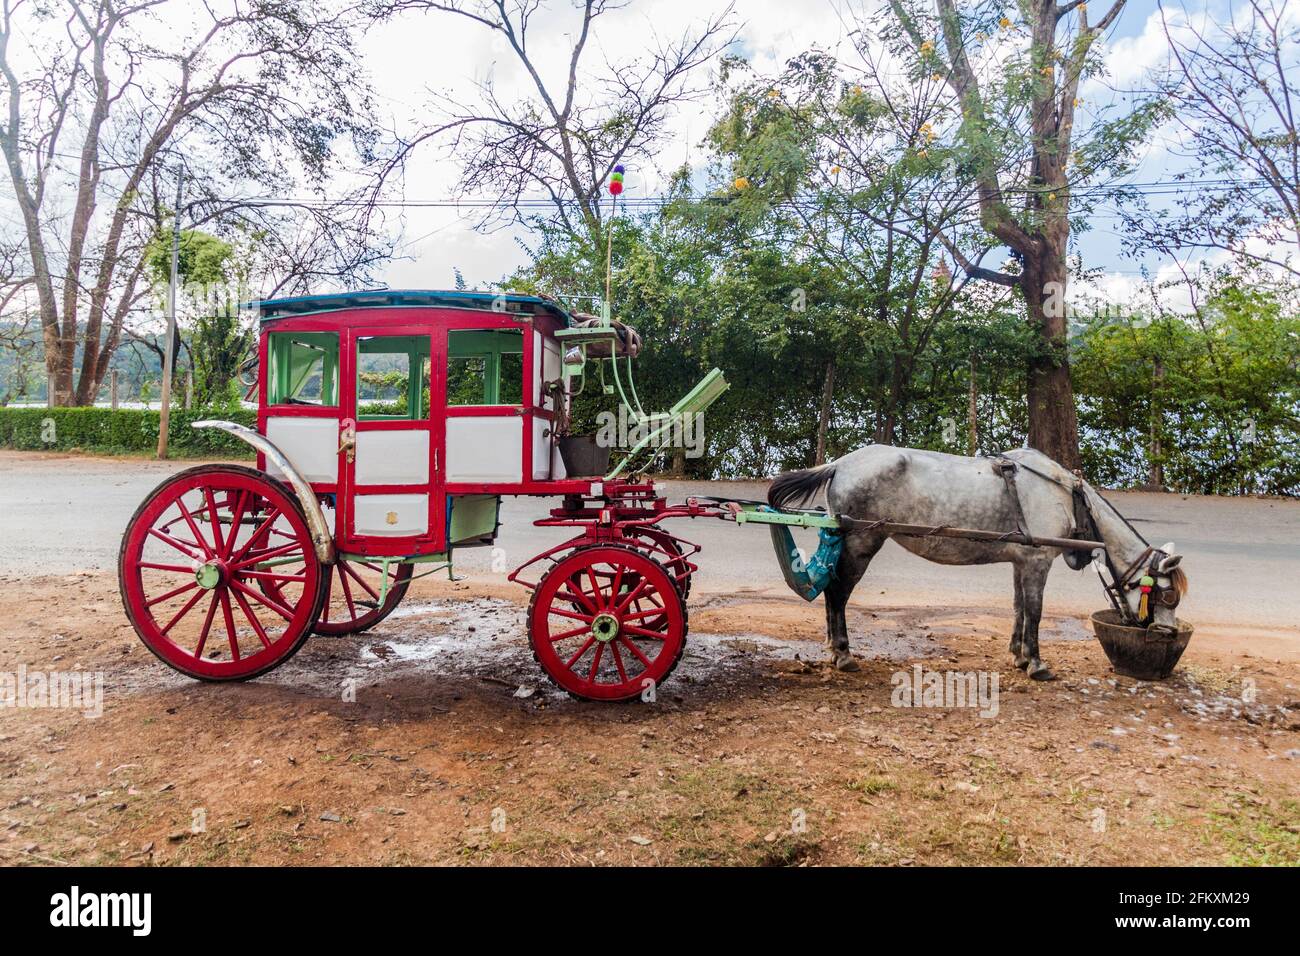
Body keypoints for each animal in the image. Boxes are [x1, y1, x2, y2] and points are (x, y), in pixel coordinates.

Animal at [769, 447, 1190, 681]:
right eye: (1168, 596)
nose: (1167, 633)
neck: (1069, 498)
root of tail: (840, 464)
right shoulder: (1038, 562)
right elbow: (1036, 612)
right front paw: (1036, 663)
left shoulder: (1022, 561)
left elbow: (1020, 609)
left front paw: (1018, 655)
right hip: (862, 541)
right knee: (838, 593)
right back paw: (842, 653)